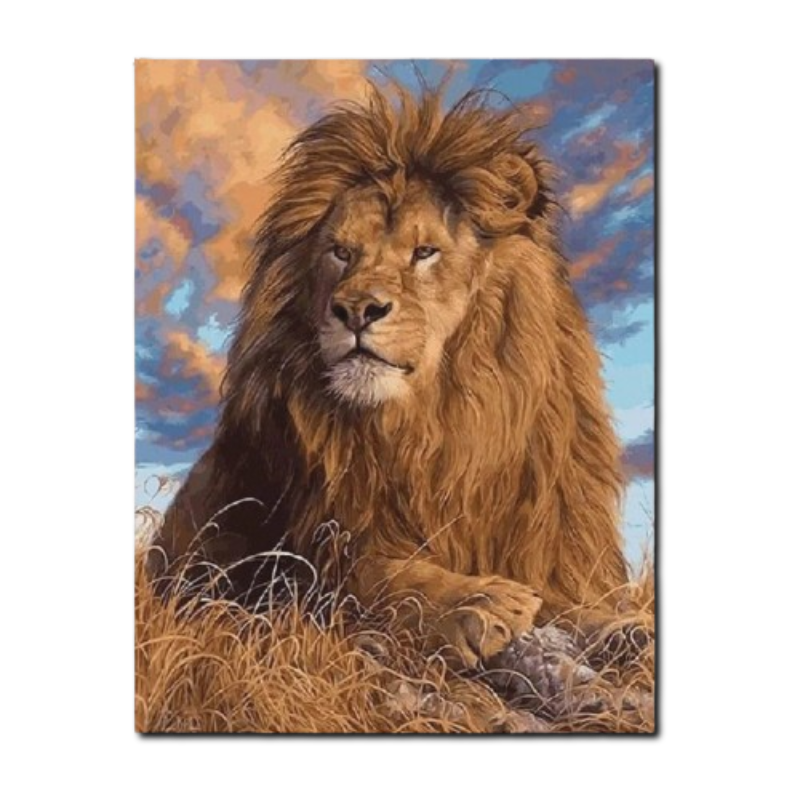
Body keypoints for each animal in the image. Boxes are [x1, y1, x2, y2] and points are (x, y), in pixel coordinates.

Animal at [153, 87, 635, 669]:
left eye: (424, 252)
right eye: (341, 252)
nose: (357, 309)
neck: (432, 426)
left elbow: (572, 602)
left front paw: (622, 627)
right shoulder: (306, 554)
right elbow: (385, 576)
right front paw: (478, 601)